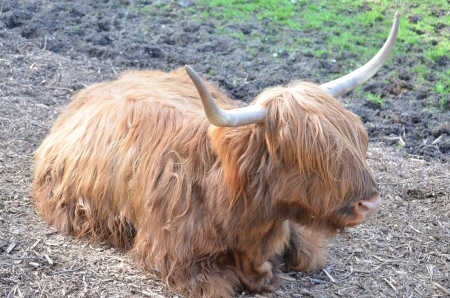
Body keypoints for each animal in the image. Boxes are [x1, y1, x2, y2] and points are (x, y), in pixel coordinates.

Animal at [33, 11, 400, 298]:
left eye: (357, 138)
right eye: (308, 155)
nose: (369, 203)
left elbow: (306, 256)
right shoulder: (177, 259)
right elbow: (221, 284)